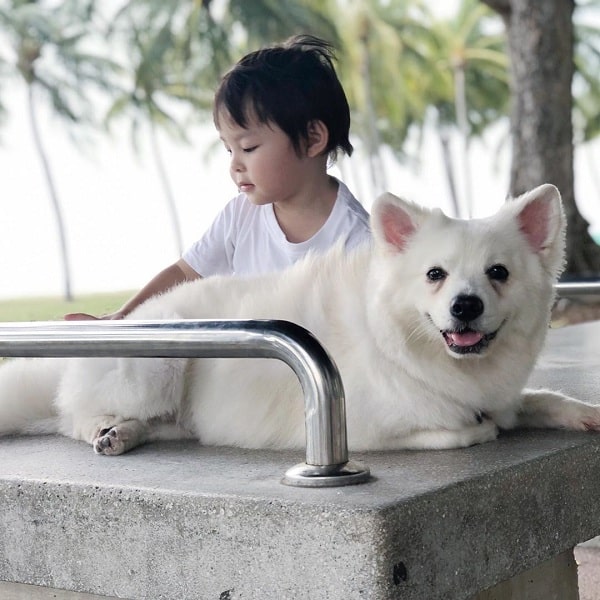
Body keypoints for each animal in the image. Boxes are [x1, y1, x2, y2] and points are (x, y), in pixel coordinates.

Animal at [1, 185, 600, 452]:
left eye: (498, 273)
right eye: (436, 275)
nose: (465, 305)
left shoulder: (503, 393)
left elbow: (536, 400)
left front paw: (580, 413)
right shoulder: (366, 427)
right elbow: (463, 430)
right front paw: (481, 427)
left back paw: (124, 433)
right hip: (156, 367)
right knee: (72, 418)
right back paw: (106, 431)